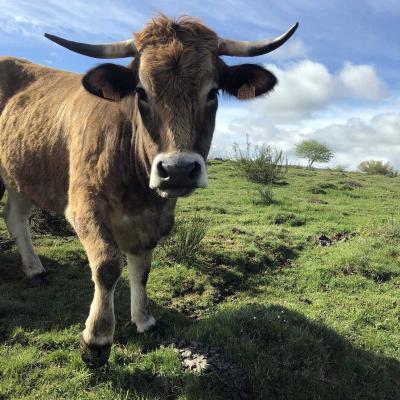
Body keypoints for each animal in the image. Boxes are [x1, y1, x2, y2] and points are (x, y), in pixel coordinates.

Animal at [0, 15, 296, 366]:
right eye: (141, 92)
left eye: (212, 92)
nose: (178, 169)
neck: (138, 188)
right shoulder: (84, 207)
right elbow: (108, 266)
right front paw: (97, 339)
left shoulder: (155, 218)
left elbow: (141, 269)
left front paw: (144, 320)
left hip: (21, 176)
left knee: (15, 216)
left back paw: (35, 270)